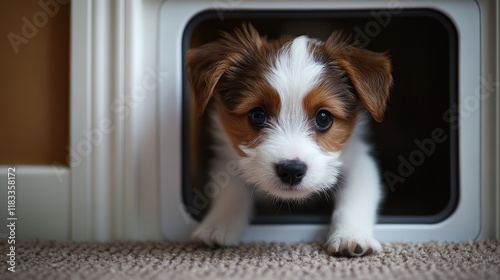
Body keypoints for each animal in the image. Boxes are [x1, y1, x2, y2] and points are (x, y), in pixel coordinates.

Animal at [187, 23, 390, 258]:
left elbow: (355, 198)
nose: (291, 170)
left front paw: (351, 236)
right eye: (257, 115)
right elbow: (231, 191)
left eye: (323, 118)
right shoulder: (227, 158)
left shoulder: (358, 160)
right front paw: (219, 224)